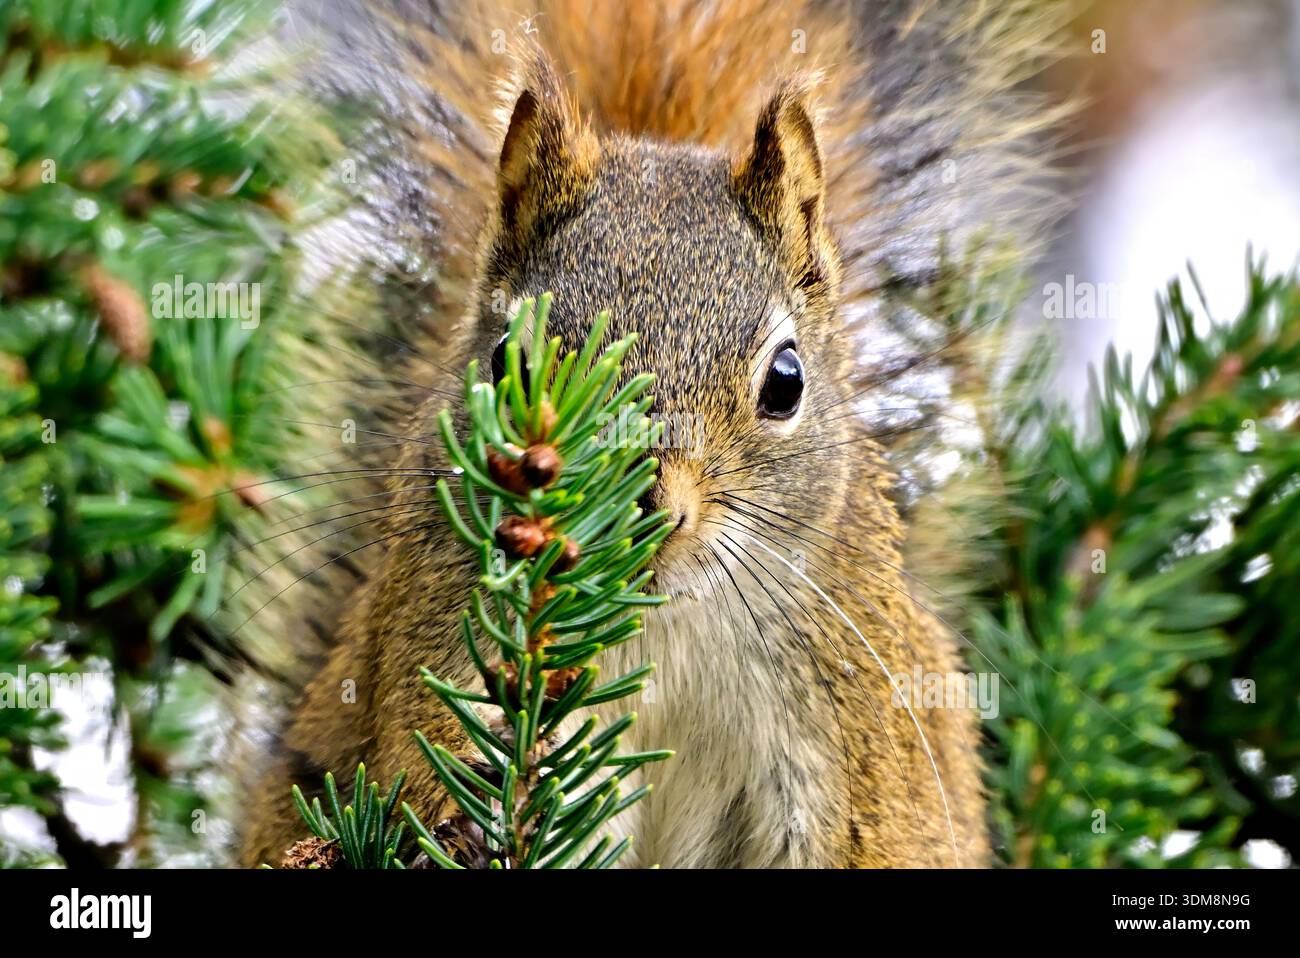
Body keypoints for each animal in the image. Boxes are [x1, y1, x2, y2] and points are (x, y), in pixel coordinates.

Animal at [239, 0, 1067, 868]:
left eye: (787, 381)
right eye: (509, 362)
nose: (636, 504)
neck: (664, 621)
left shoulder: (861, 720)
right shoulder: (440, 634)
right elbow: (424, 758)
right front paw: (464, 825)